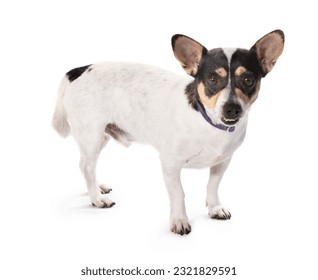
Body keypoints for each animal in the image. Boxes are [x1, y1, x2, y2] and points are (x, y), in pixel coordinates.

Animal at [52, 30, 286, 234]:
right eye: (212, 80)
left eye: (248, 80)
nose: (232, 108)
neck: (208, 123)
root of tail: (79, 70)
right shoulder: (171, 165)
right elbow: (179, 194)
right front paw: (180, 221)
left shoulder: (222, 162)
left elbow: (212, 185)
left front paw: (214, 208)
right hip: (90, 136)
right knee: (86, 166)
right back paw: (96, 198)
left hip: (101, 137)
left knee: (86, 167)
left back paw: (97, 188)